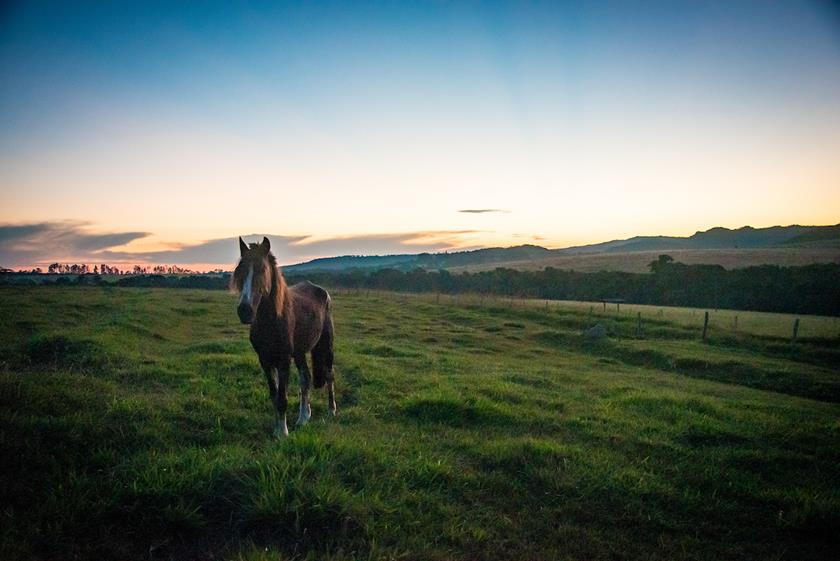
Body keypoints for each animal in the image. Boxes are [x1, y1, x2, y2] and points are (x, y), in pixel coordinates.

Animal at [231, 234, 336, 436]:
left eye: (263, 269)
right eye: (240, 270)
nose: (245, 311)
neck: (271, 321)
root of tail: (322, 292)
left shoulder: (284, 360)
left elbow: (282, 397)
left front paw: (282, 433)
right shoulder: (265, 360)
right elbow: (275, 395)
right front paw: (278, 428)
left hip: (326, 346)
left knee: (329, 375)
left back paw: (331, 411)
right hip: (300, 352)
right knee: (306, 379)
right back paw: (303, 418)